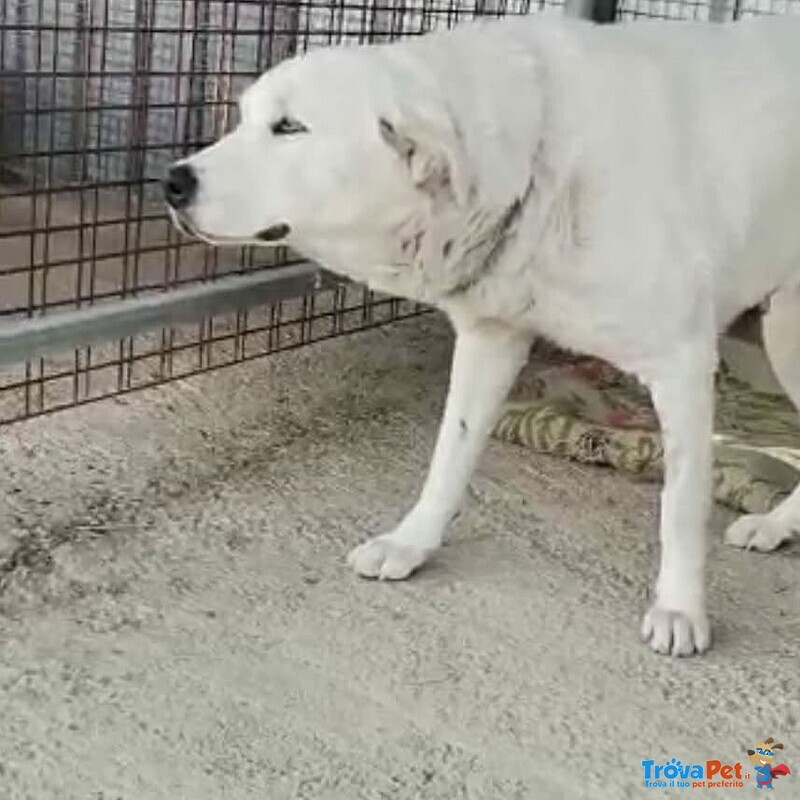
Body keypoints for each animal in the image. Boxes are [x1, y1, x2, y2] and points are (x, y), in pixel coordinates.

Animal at [162, 15, 800, 656]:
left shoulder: (682, 362)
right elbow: (450, 453)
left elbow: (681, 505)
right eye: (244, 117)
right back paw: (775, 524)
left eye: (289, 126)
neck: (543, 164)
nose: (171, 181)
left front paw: (679, 607)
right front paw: (412, 543)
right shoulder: (490, 340)